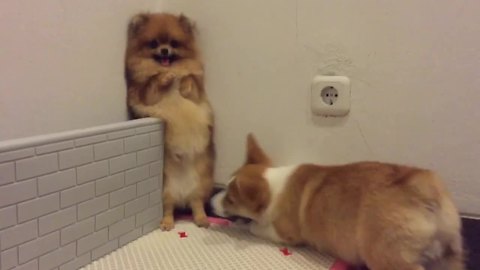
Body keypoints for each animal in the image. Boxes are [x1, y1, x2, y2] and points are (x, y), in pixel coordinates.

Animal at [124, 12, 215, 230]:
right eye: (154, 43)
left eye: (173, 43)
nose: (165, 50)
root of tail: (182, 196)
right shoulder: (145, 95)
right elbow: (154, 83)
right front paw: (165, 77)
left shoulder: (197, 95)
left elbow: (190, 81)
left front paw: (182, 80)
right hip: (165, 190)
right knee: (168, 208)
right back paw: (167, 223)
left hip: (200, 184)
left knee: (197, 204)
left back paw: (202, 219)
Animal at [211, 134, 464, 270]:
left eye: (230, 200)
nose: (209, 203)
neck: (274, 189)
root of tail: (421, 188)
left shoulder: (286, 234)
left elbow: (254, 227)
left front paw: (246, 225)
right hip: (451, 257)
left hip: (386, 256)